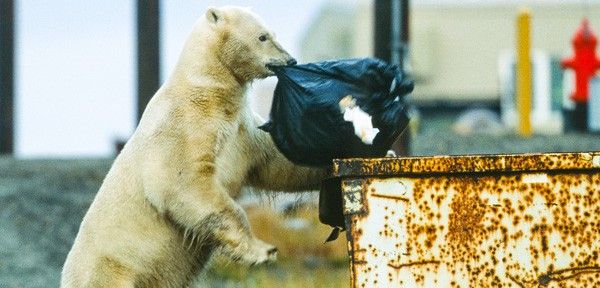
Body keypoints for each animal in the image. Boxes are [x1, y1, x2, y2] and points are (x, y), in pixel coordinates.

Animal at [61, 6, 326, 288]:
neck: (208, 90)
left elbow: (279, 163)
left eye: (272, 33)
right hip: (111, 269)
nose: (291, 61)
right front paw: (262, 250)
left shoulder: (242, 131)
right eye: (263, 36)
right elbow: (184, 182)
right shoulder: (183, 126)